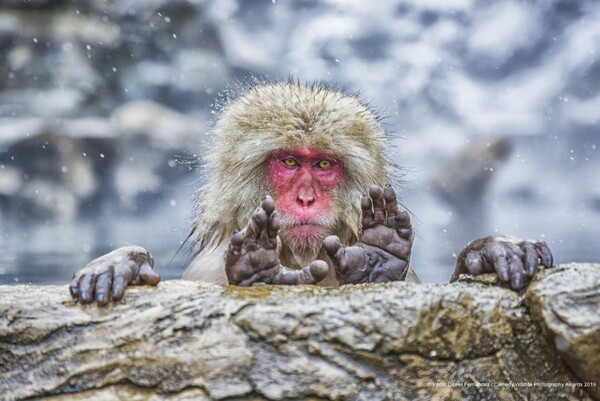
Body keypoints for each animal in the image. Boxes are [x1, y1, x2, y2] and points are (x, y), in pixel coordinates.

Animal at [67, 83, 552, 304]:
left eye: (322, 165)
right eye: (288, 163)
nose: (305, 199)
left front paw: (490, 250)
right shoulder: (205, 271)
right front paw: (122, 264)